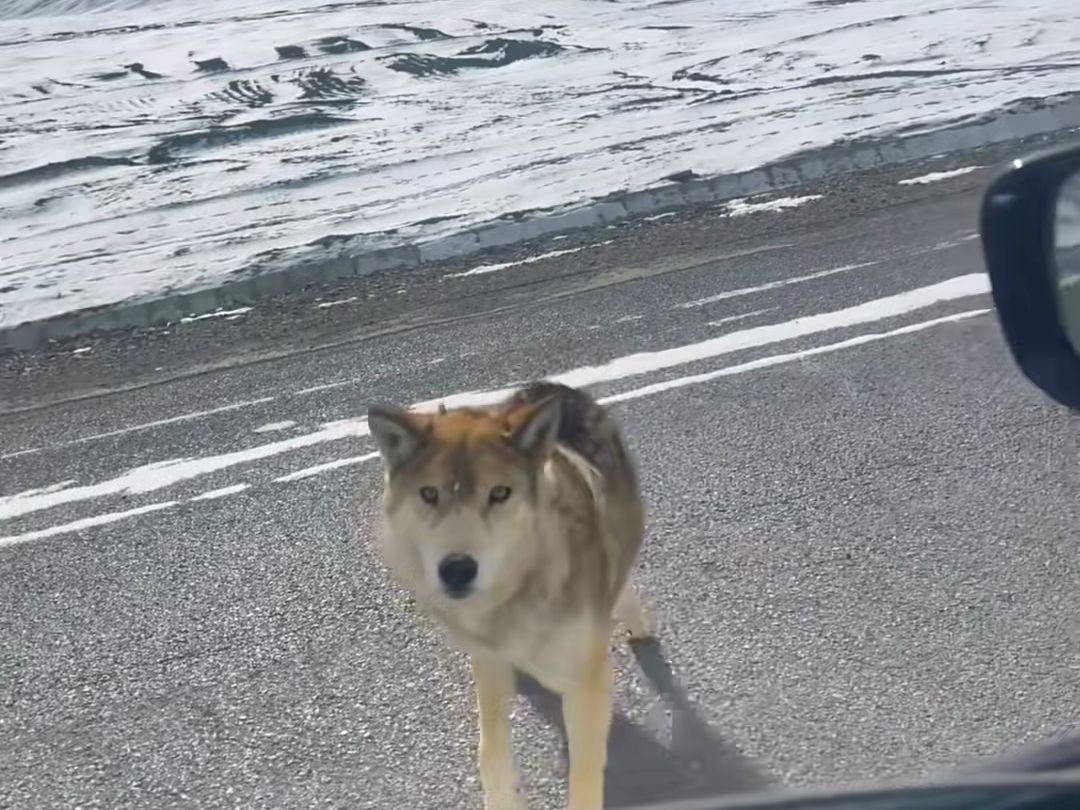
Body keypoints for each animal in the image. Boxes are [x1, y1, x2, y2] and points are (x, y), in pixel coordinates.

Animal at [367, 382, 652, 810]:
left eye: (499, 492)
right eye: (429, 494)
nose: (457, 569)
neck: (513, 600)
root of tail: (545, 387)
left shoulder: (589, 683)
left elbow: (584, 779)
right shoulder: (489, 667)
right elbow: (492, 756)